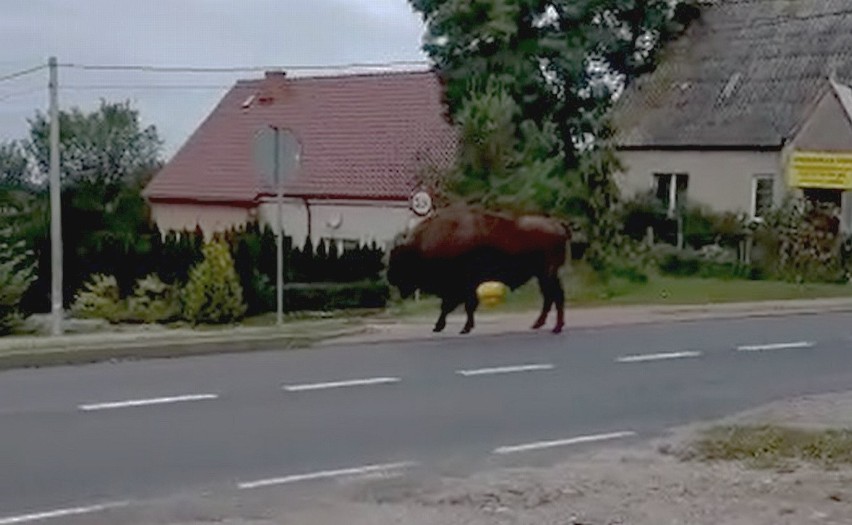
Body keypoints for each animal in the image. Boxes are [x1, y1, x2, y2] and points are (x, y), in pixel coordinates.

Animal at [388, 203, 572, 334]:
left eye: (398, 261)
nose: (390, 278)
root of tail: (557, 224)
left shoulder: (461, 286)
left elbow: (460, 305)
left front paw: (461, 328)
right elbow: (453, 306)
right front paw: (442, 326)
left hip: (547, 273)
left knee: (555, 296)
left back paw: (556, 328)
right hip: (543, 275)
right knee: (550, 297)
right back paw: (539, 325)